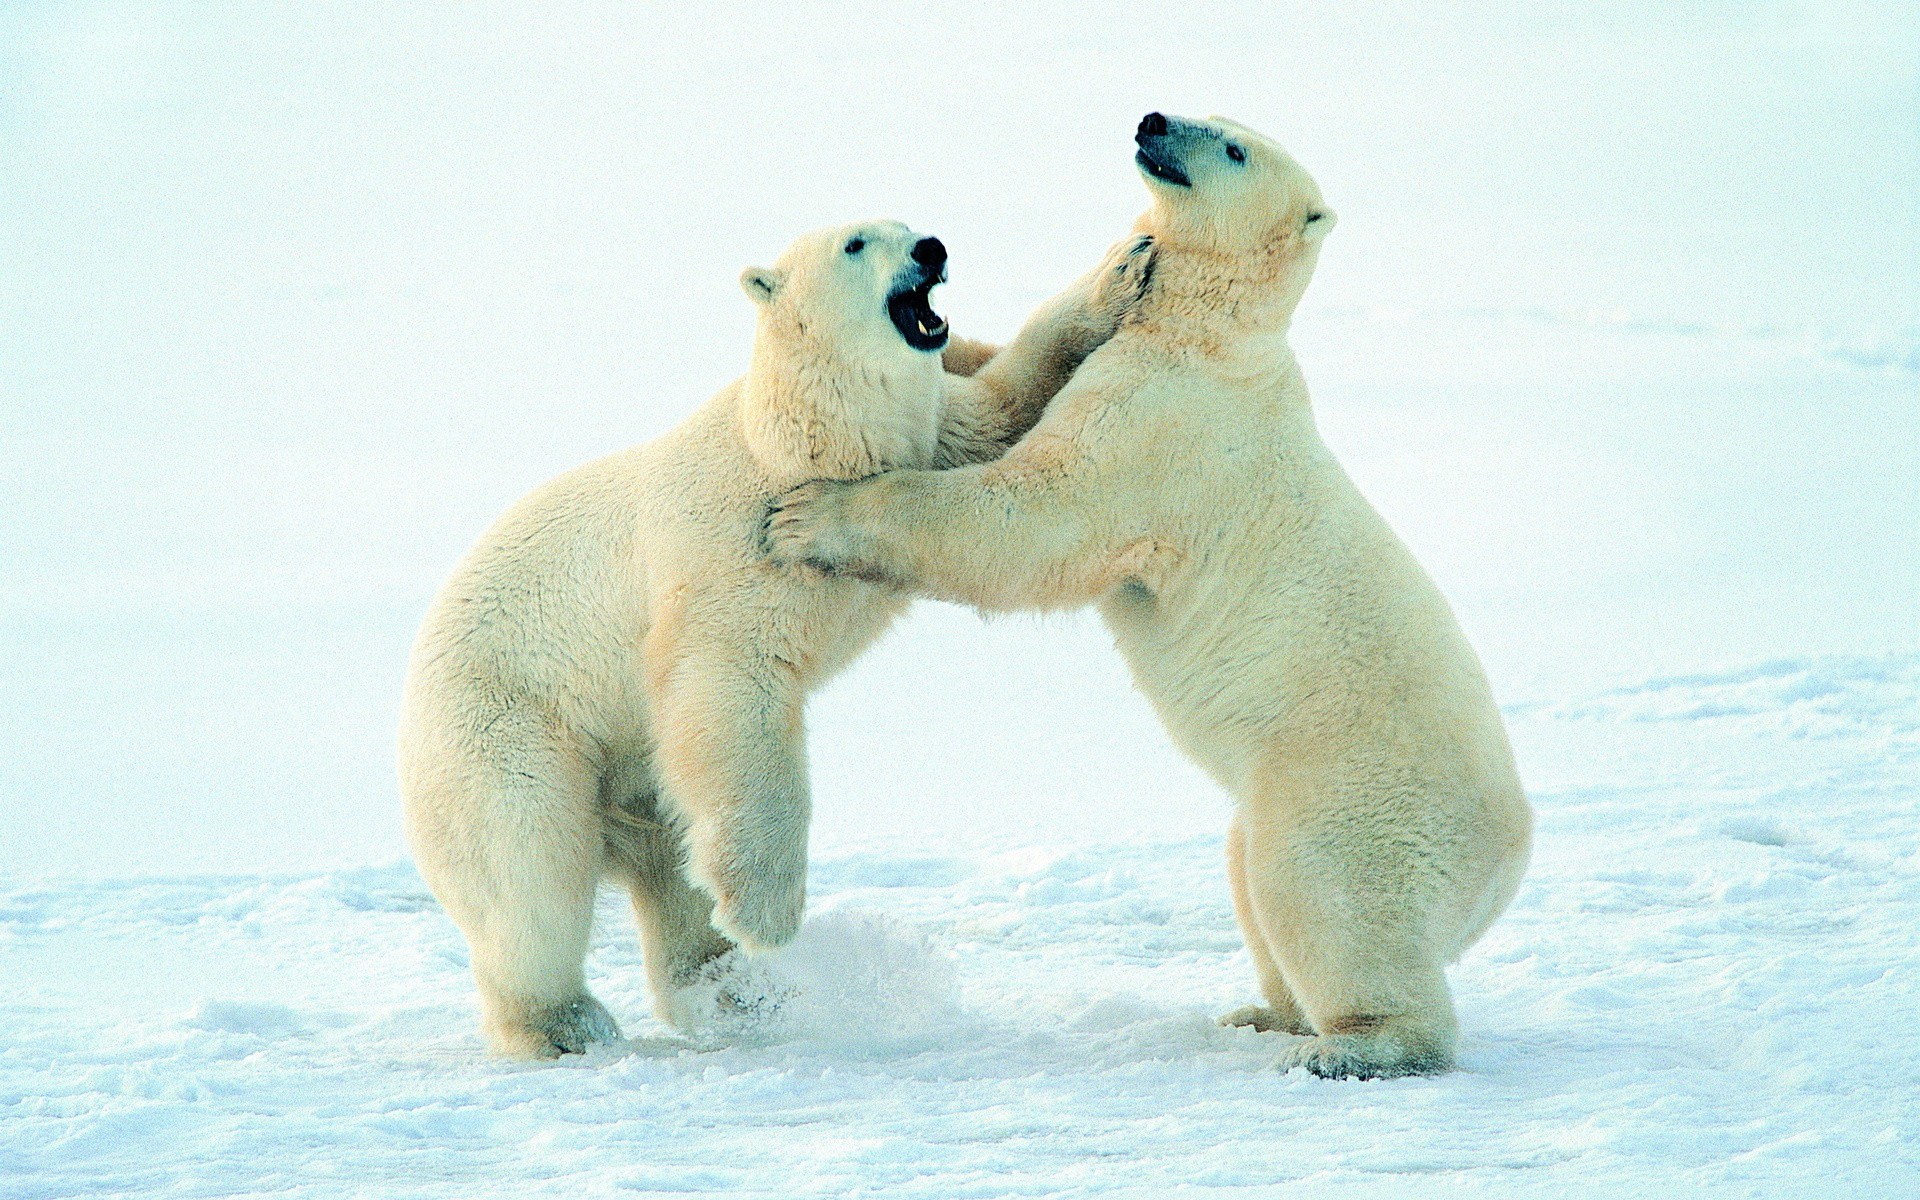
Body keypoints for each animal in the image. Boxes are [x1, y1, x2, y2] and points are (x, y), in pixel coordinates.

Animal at [400, 220, 1154, 1057]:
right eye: (857, 242)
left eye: (908, 223)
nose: (930, 247)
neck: (796, 443)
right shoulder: (728, 556)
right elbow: (732, 695)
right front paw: (766, 916)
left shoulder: (931, 440)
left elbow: (997, 409)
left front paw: (1122, 274)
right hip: (510, 730)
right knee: (530, 874)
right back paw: (565, 1023)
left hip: (639, 780)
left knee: (675, 872)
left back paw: (734, 993)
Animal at [763, 115, 1534, 1079]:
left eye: (1235, 149)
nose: (1153, 121)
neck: (1212, 340)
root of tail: (1508, 862)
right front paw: (1109, 270)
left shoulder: (1161, 427)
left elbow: (1034, 517)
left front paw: (811, 515)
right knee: (1251, 879)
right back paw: (1266, 1013)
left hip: (1356, 794)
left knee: (1321, 895)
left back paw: (1353, 1045)